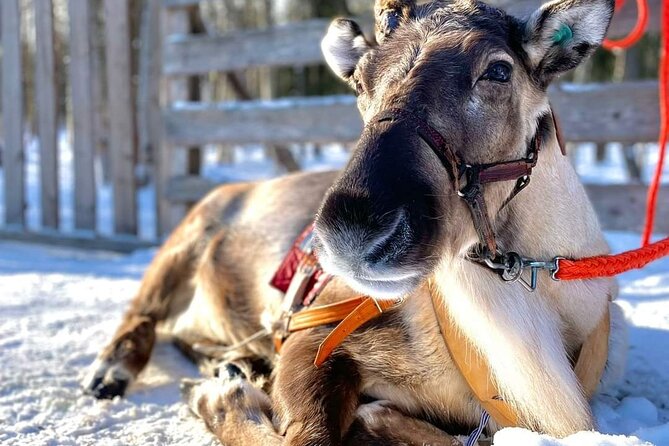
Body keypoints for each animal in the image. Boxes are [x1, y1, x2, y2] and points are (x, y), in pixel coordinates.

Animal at [83, 0, 628, 444]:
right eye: (360, 82)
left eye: (497, 70)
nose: (353, 231)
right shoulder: (313, 335)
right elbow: (310, 438)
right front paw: (219, 398)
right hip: (186, 239)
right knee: (143, 314)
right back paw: (114, 372)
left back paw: (236, 362)